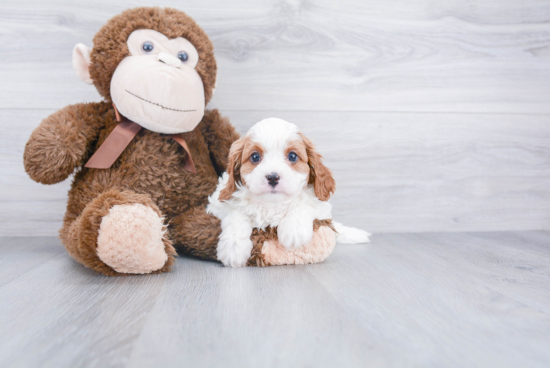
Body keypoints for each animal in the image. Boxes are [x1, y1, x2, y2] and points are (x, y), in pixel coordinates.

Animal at [207, 118, 370, 268]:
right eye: (255, 157)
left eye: (292, 156)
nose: (273, 177)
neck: (272, 205)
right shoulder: (221, 203)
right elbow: (237, 214)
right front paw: (233, 247)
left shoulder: (321, 206)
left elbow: (305, 203)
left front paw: (294, 230)